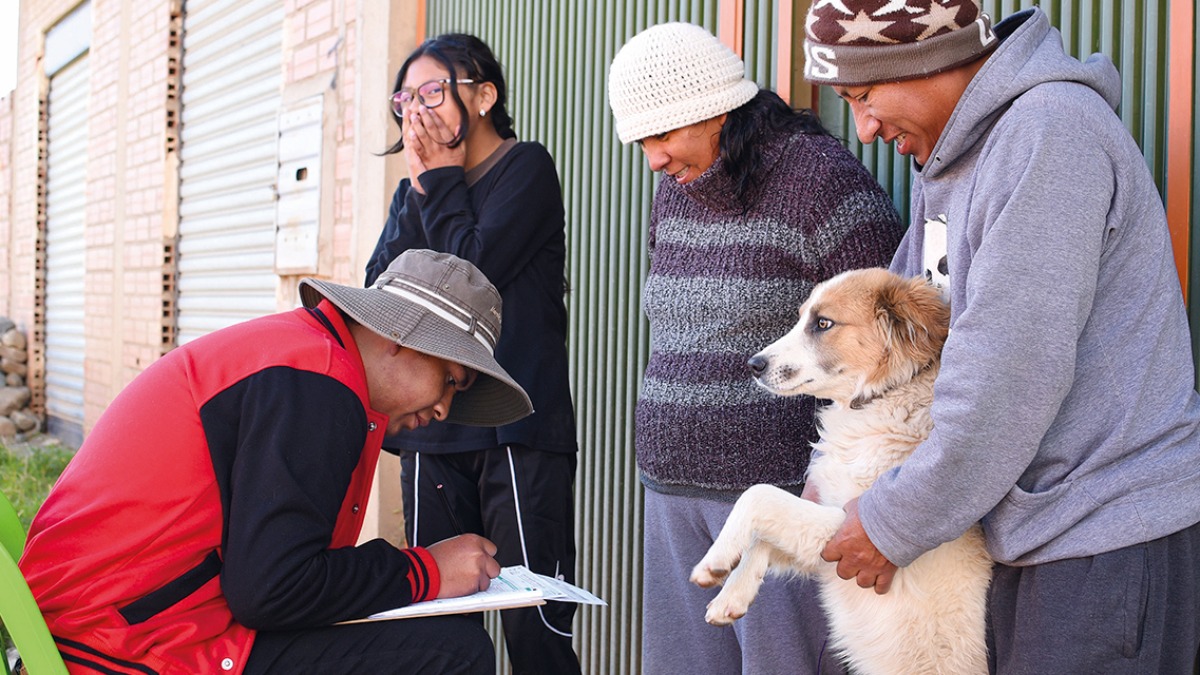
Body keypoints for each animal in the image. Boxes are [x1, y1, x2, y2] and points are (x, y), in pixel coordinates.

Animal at [691, 267, 988, 672]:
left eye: (823, 323)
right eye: (802, 317)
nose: (753, 365)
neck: (879, 400)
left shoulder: (850, 528)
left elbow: (759, 496)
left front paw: (715, 561)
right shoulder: (823, 545)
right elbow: (761, 539)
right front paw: (732, 594)